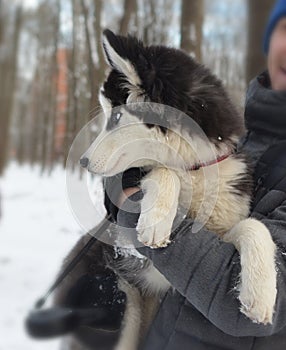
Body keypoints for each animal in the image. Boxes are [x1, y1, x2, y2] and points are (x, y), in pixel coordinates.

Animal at [80, 29, 278, 350]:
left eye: (116, 117)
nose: (82, 162)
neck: (193, 169)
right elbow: (162, 171)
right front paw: (157, 220)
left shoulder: (222, 230)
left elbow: (254, 227)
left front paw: (260, 294)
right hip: (121, 299)